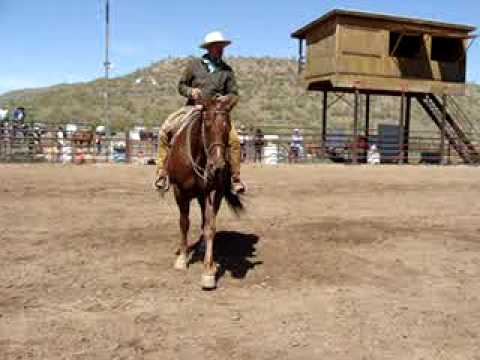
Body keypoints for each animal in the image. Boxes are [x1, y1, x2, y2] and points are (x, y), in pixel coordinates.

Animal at [167, 96, 246, 290]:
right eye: (207, 125)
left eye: (227, 126)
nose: (217, 166)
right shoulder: (179, 191)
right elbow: (184, 223)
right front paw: (182, 259)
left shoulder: (214, 192)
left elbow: (210, 227)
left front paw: (209, 270)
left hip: (205, 196)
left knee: (205, 219)